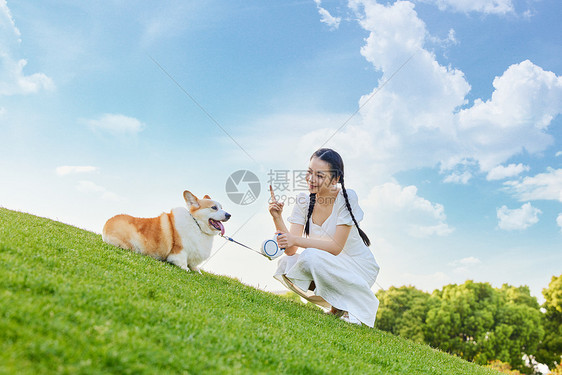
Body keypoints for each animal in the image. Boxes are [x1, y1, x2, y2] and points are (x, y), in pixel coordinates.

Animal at [101, 191, 229, 274]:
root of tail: (106, 224)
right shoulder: (179, 251)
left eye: (222, 207)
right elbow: (182, 261)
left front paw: (196, 269)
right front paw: (185, 268)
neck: (197, 225)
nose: (229, 215)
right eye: (214, 207)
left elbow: (193, 264)